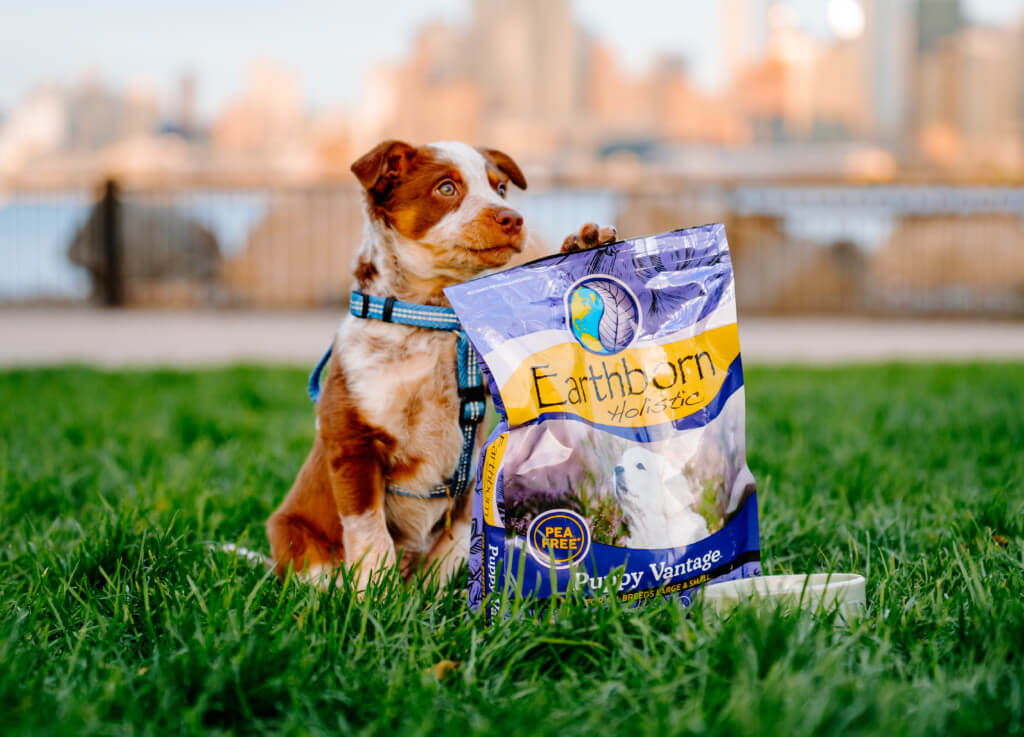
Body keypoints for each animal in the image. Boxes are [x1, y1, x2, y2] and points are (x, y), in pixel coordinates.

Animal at [268, 141, 610, 589]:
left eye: (500, 188)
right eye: (446, 188)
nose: (513, 218)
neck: (434, 320)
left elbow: (457, 541)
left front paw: (583, 246)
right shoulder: (352, 438)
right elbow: (368, 530)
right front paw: (374, 594)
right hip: (290, 533)